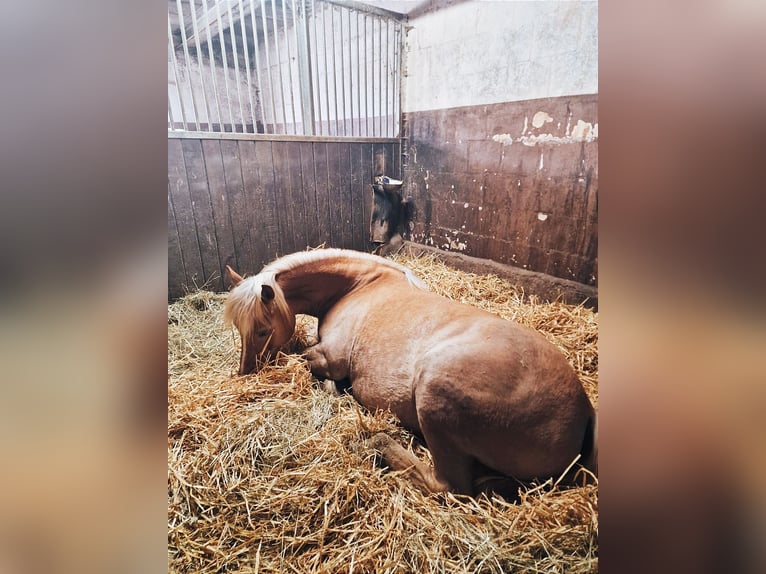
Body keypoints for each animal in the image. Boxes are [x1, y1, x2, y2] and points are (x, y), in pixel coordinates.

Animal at [225, 250, 596, 498]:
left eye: (261, 330)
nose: (245, 372)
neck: (357, 285)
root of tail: (583, 410)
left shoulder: (333, 357)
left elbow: (308, 362)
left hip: (434, 396)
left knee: (447, 486)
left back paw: (380, 443)